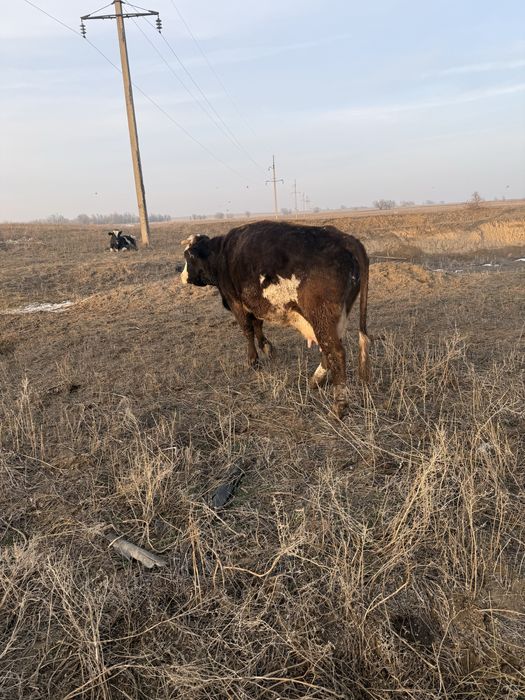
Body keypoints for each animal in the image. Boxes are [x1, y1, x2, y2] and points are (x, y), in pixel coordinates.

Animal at [180, 220, 370, 417]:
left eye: (188, 256)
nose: (182, 275)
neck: (220, 254)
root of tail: (343, 238)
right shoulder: (254, 304)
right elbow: (258, 325)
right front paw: (266, 347)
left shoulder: (236, 302)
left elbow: (247, 330)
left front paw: (253, 360)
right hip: (334, 319)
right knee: (328, 350)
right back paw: (316, 380)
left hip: (322, 318)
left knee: (336, 352)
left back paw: (339, 406)